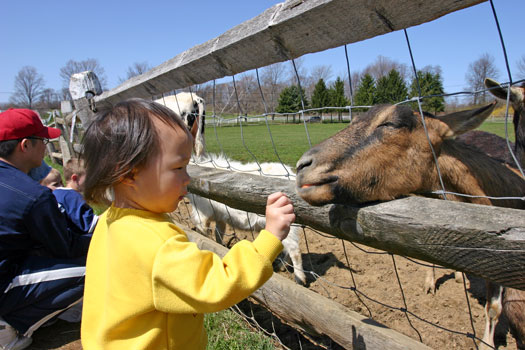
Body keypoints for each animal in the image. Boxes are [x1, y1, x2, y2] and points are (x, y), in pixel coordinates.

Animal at [189, 154, 308, 286]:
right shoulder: (220, 217)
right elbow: (218, 233)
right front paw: (220, 246)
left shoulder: (202, 214)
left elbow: (204, 232)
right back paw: (282, 267)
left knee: (294, 250)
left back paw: (300, 279)